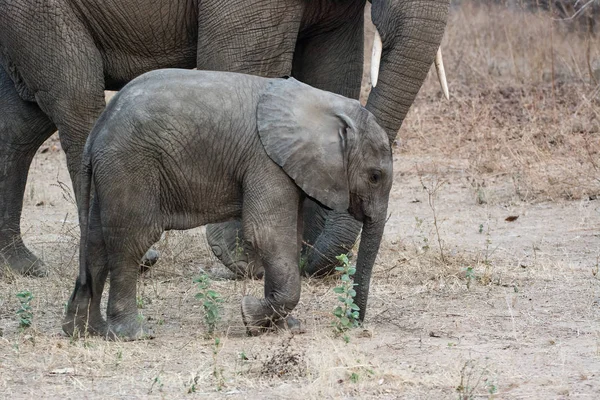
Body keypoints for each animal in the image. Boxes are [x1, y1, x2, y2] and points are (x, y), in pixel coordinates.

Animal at [0, 0, 448, 298]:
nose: (314, 264)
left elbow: (332, 70)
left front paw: (299, 252)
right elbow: (253, 63)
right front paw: (246, 261)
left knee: (21, 122)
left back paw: (22, 265)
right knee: (76, 99)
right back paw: (140, 260)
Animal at [64, 69, 394, 340]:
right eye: (375, 176)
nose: (355, 324)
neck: (324, 104)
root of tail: (97, 130)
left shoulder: (287, 169)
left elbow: (288, 236)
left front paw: (283, 328)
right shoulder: (266, 162)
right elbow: (268, 234)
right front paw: (249, 316)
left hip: (110, 171)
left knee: (96, 241)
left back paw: (86, 331)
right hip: (130, 164)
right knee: (131, 241)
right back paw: (132, 334)